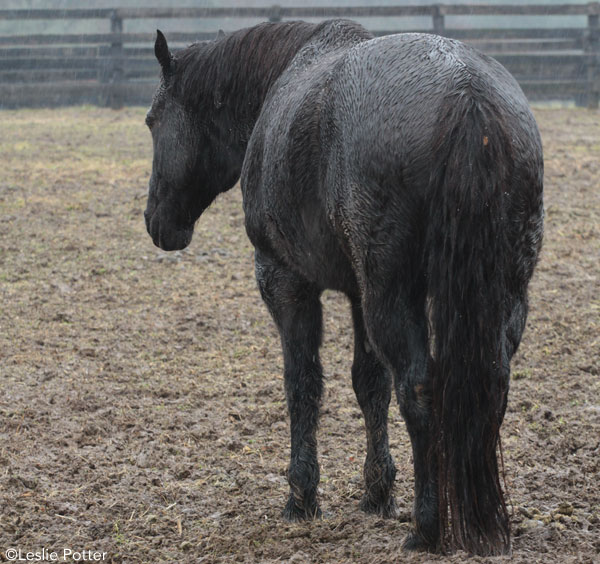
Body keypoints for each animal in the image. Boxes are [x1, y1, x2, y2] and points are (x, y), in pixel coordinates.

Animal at [144, 18, 544, 556]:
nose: (156, 222)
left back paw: (427, 527)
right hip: (501, 295)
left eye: (151, 121)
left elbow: (303, 383)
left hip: (392, 297)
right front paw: (377, 492)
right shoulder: (358, 293)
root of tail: (468, 97)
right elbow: (368, 383)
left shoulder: (285, 281)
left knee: (418, 388)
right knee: (490, 384)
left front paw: (302, 497)